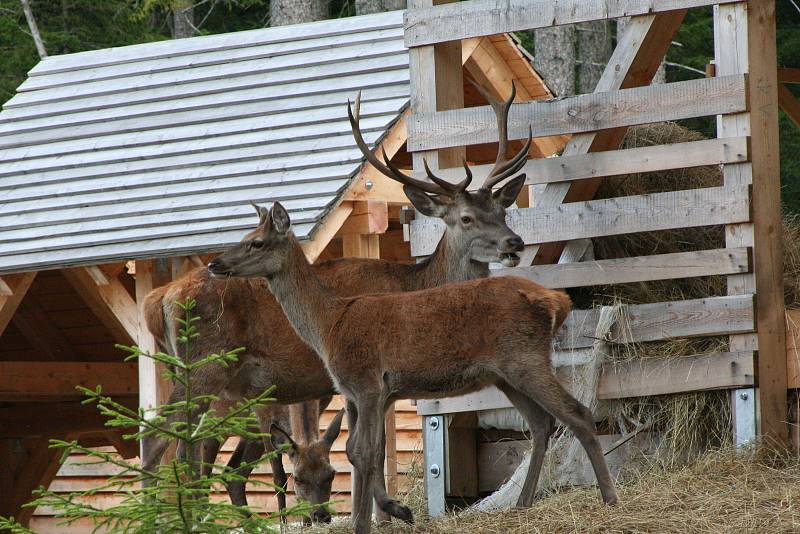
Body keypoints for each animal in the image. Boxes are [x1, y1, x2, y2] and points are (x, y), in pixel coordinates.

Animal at [206, 204, 620, 534]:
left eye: (257, 242)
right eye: (245, 235)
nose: (214, 263)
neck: (327, 326)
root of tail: (556, 300)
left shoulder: (367, 383)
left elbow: (363, 453)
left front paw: (368, 522)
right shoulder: (359, 393)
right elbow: (361, 452)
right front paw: (388, 513)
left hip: (525, 359)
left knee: (577, 413)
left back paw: (610, 499)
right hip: (506, 373)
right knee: (541, 422)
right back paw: (522, 504)